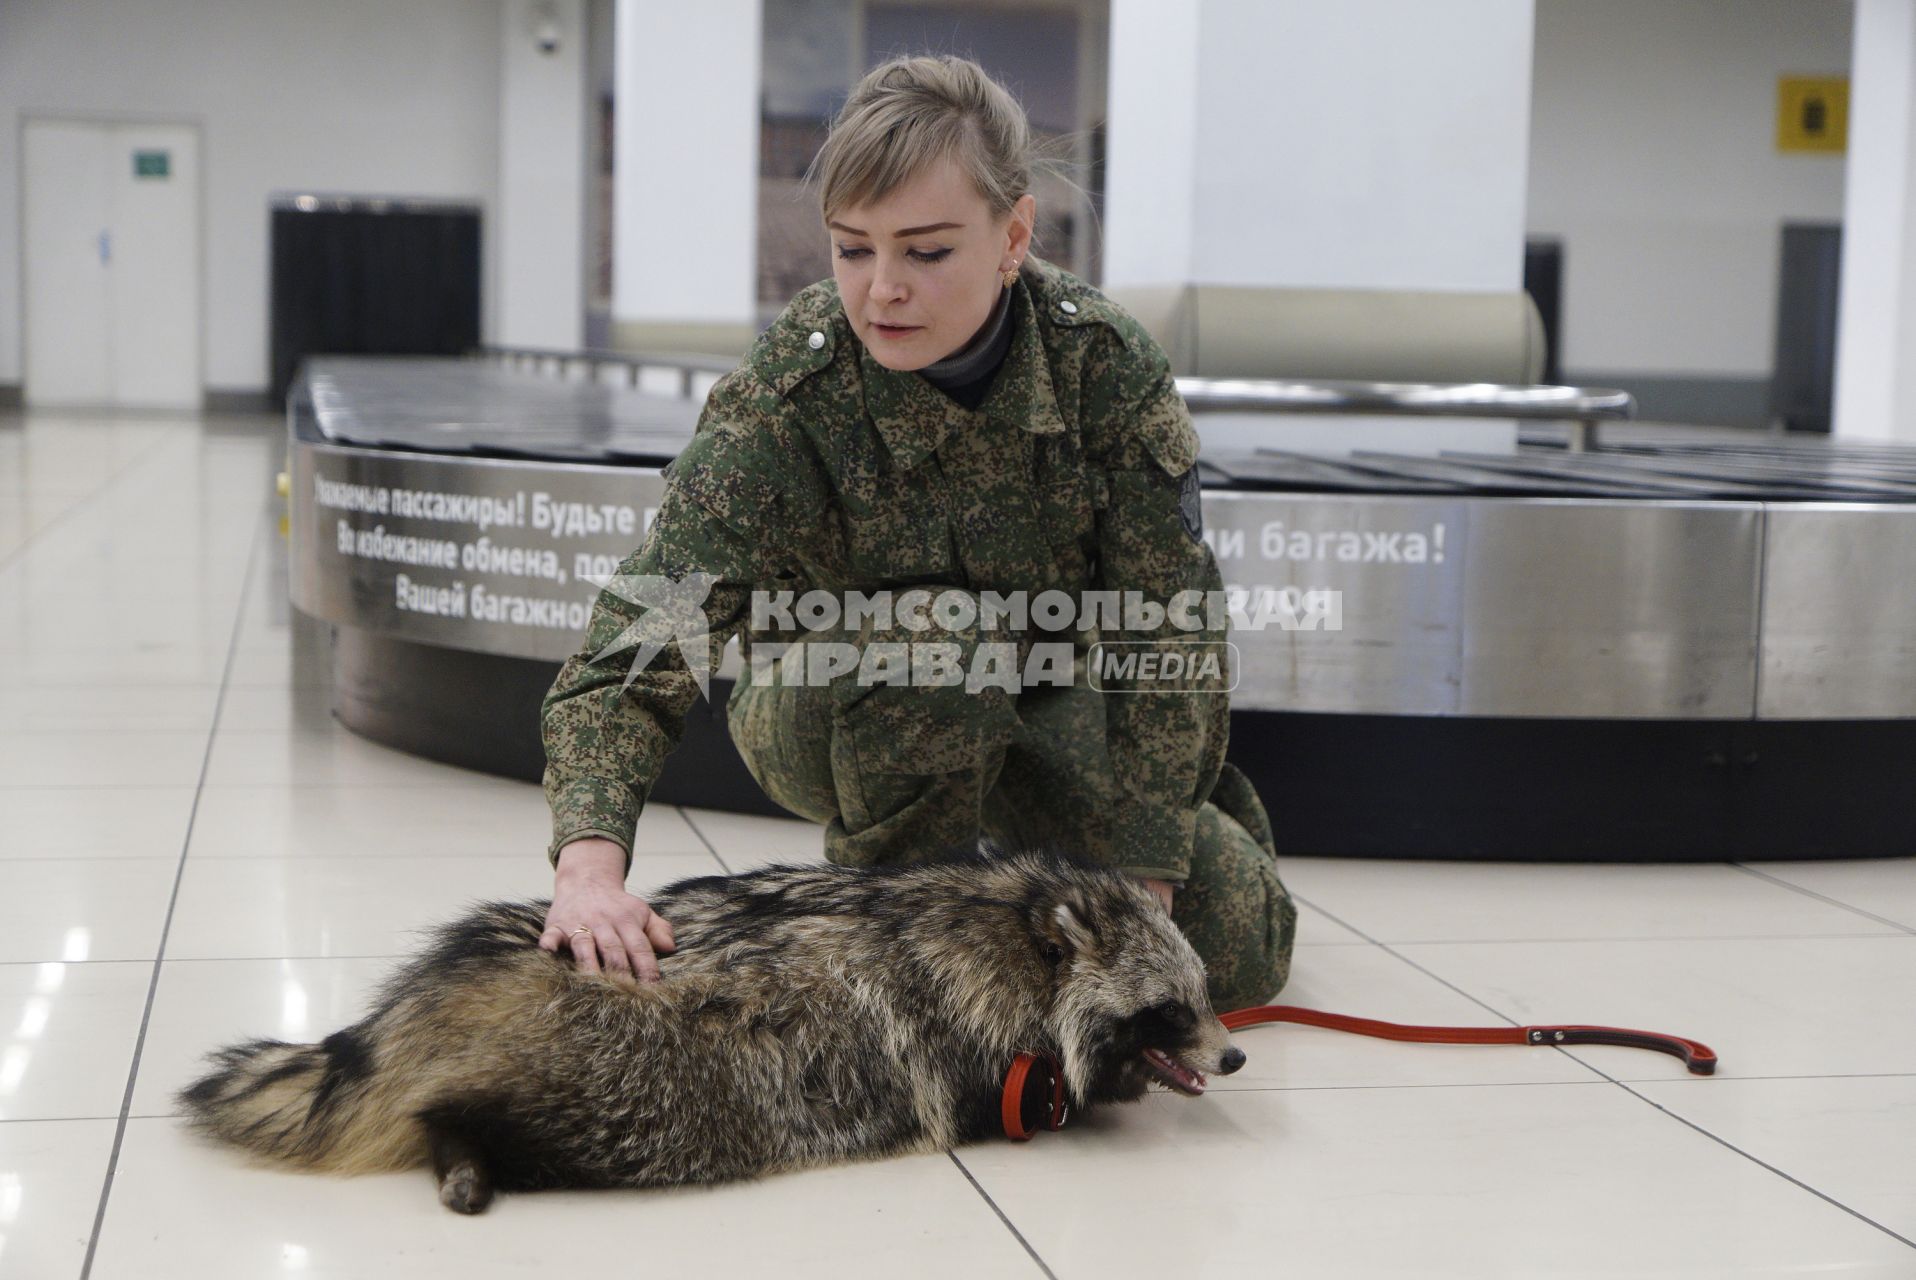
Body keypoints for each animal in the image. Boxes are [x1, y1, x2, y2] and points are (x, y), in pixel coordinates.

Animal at [180, 850, 1249, 1211]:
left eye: (1206, 992)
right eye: (1173, 1009)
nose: (1235, 1051)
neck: (1016, 924)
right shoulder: (972, 1038)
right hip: (627, 1078)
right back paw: (465, 1146)